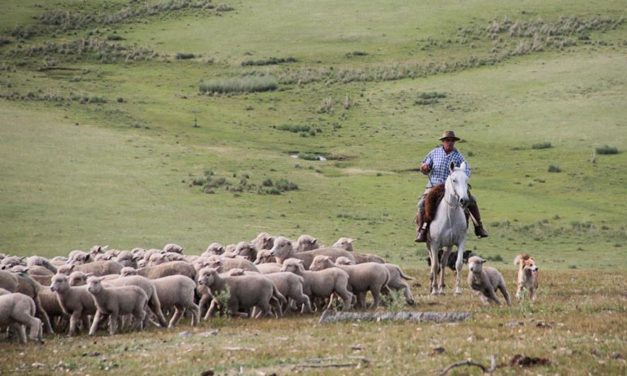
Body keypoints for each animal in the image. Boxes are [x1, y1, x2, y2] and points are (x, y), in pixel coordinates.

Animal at [426, 160, 472, 296]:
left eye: (466, 180)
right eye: (454, 180)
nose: (464, 200)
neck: (450, 216)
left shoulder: (460, 241)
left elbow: (458, 264)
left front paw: (458, 290)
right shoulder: (434, 244)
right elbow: (434, 265)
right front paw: (434, 290)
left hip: (448, 246)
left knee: (443, 263)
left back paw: (441, 288)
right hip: (429, 245)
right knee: (434, 264)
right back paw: (433, 287)